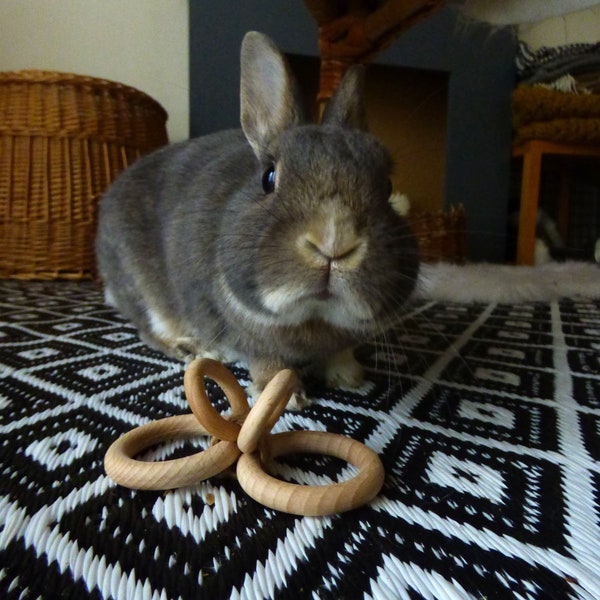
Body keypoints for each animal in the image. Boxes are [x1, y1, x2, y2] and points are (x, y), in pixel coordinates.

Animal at [96, 32, 420, 408]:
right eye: (268, 177)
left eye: (387, 186)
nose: (334, 241)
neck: (315, 317)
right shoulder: (253, 340)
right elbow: (268, 362)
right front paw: (285, 398)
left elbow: (341, 353)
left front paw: (350, 379)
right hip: (143, 288)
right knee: (149, 328)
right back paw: (192, 347)